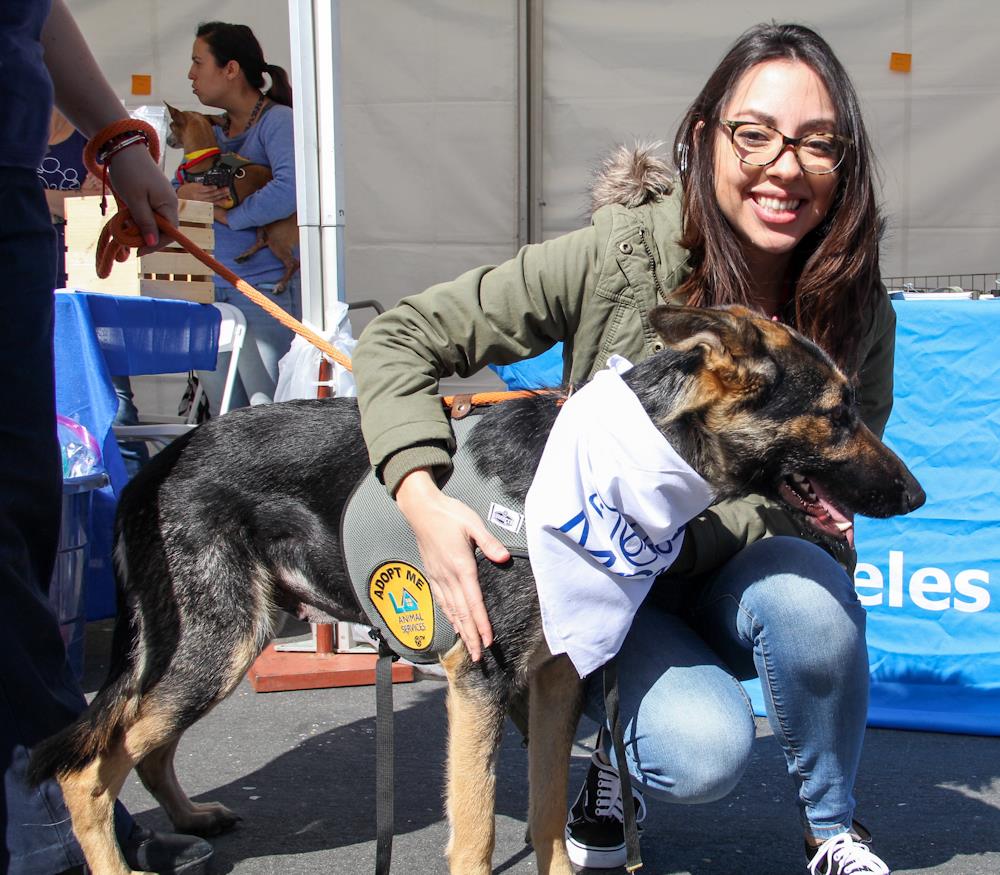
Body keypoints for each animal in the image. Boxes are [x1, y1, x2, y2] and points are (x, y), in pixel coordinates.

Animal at [29, 304, 920, 872]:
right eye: (838, 414)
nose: (915, 496)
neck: (620, 471)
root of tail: (164, 460)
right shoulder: (479, 681)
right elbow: (478, 829)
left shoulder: (557, 680)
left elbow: (551, 810)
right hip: (219, 642)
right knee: (90, 768)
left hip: (223, 642)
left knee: (143, 743)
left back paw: (189, 817)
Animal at [162, 102, 296, 294]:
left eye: (172, 126)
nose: (166, 140)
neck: (207, 163)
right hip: (263, 227)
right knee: (262, 240)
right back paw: (245, 255)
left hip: (277, 234)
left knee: (293, 263)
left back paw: (280, 284)